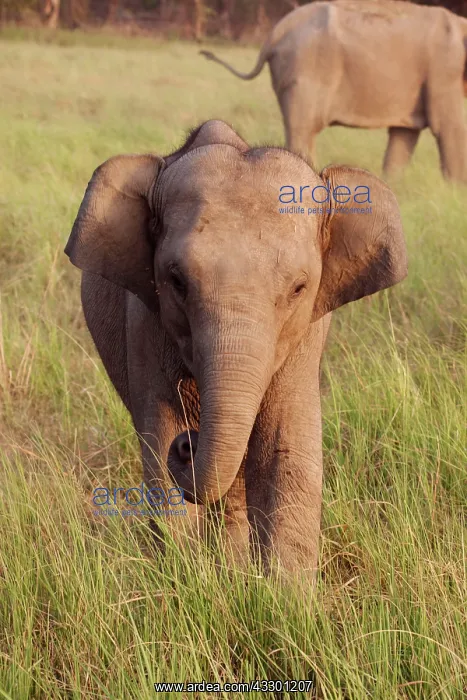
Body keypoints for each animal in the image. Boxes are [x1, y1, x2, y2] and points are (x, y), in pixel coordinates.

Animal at [65, 119, 408, 578]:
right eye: (176, 281)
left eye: (299, 288)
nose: (190, 445)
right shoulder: (145, 321)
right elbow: (161, 439)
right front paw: (187, 580)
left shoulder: (304, 334)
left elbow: (284, 451)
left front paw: (281, 595)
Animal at [200, 0, 467, 182]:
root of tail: (276, 32)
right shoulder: (445, 70)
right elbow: (449, 129)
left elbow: (404, 135)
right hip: (304, 73)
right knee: (303, 130)